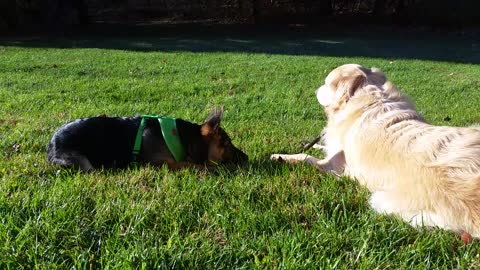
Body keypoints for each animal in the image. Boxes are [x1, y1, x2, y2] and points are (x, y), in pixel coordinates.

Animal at [47, 108, 248, 170]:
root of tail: (50, 144)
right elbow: (192, 165)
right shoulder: (159, 162)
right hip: (81, 161)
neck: (184, 138)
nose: (246, 157)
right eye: (226, 143)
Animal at [272, 64, 480, 237]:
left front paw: (280, 156)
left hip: (383, 201)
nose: (315, 89)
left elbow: (306, 157)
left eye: (325, 83)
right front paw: (312, 143)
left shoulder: (332, 165)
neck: (371, 98)